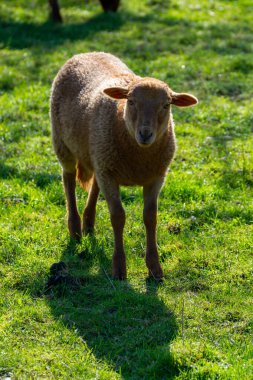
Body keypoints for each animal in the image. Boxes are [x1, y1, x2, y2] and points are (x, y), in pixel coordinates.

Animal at [51, 52, 198, 280]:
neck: (138, 156)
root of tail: (85, 53)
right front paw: (119, 268)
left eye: (166, 105)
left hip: (99, 156)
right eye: (131, 101)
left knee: (94, 184)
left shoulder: (155, 177)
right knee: (68, 180)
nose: (145, 133)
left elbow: (150, 217)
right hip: (63, 143)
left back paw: (88, 224)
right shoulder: (110, 173)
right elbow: (118, 217)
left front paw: (155, 268)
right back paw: (75, 229)